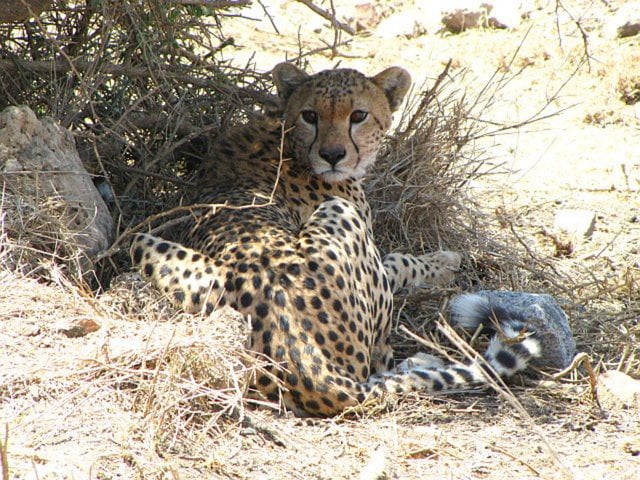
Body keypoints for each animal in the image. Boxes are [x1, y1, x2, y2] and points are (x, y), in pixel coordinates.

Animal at [132, 63, 544, 416]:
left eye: (358, 115)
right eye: (310, 115)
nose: (332, 155)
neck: (287, 140)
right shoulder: (369, 245)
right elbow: (399, 261)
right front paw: (442, 261)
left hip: (143, 241)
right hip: (339, 218)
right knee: (378, 366)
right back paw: (421, 360)